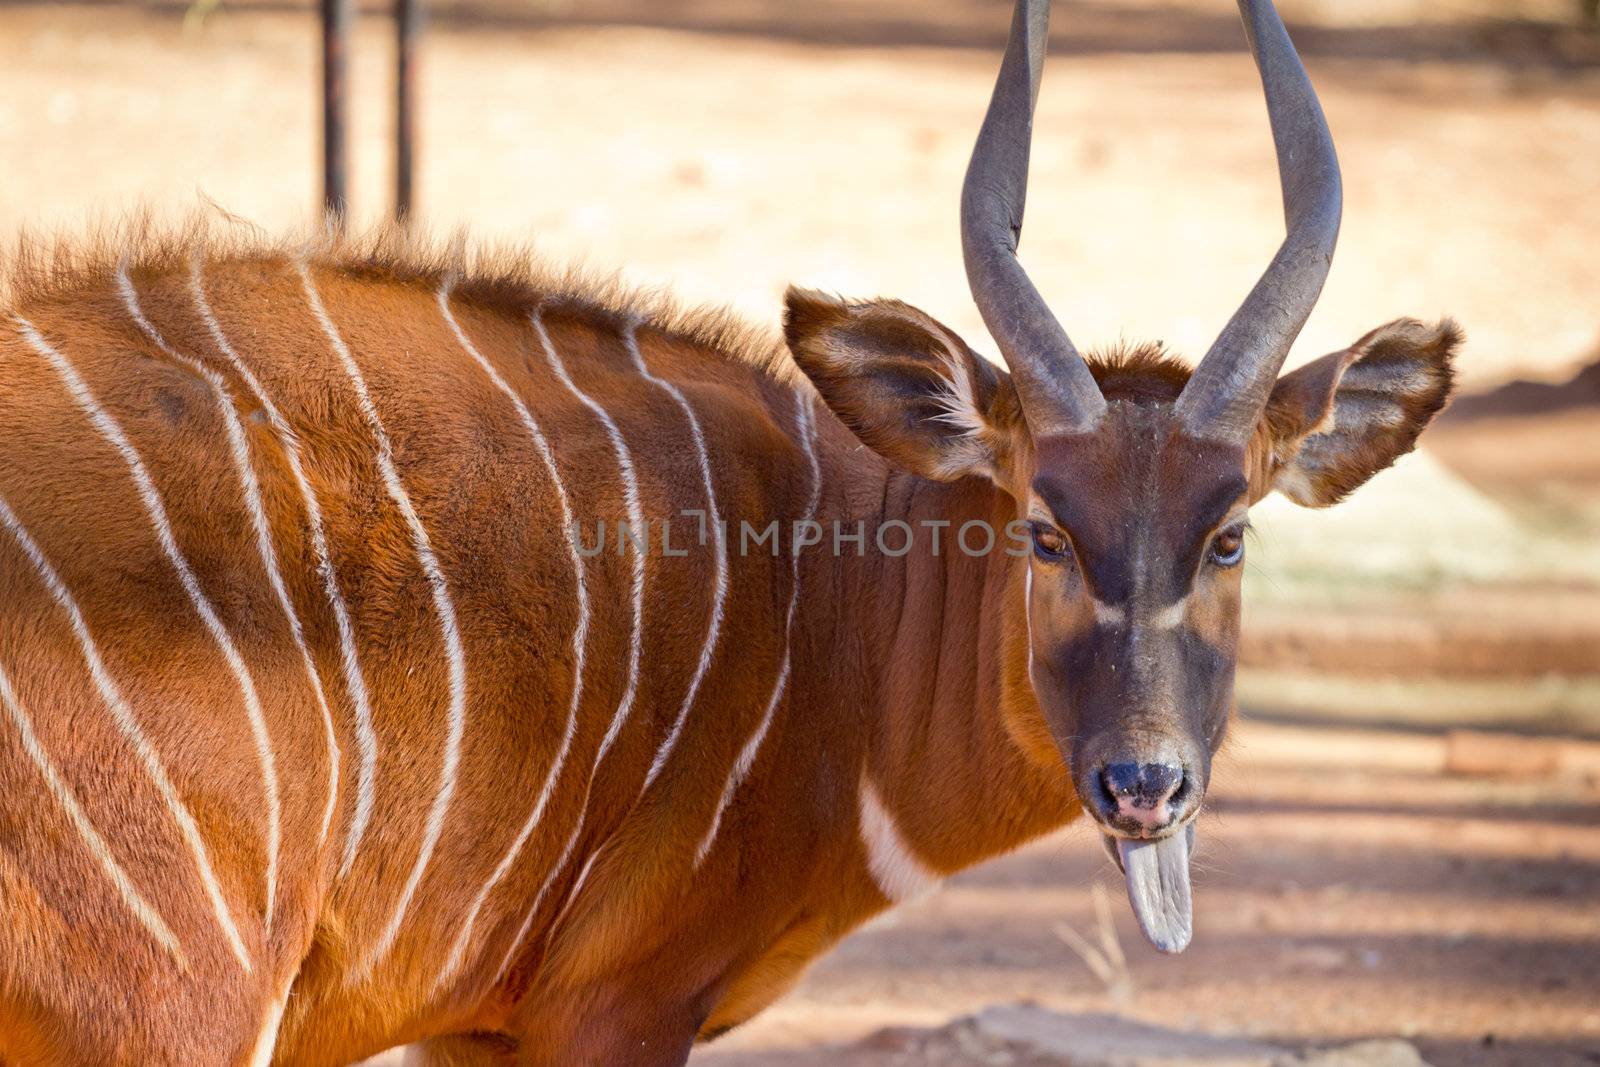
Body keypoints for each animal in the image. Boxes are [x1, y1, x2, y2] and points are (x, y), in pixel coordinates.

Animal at [0, 0, 1459, 1062]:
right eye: (1044, 528)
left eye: (1230, 534)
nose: (1145, 785)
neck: (828, 605)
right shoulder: (611, 1006)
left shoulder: (478, 1026)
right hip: (175, 1005)